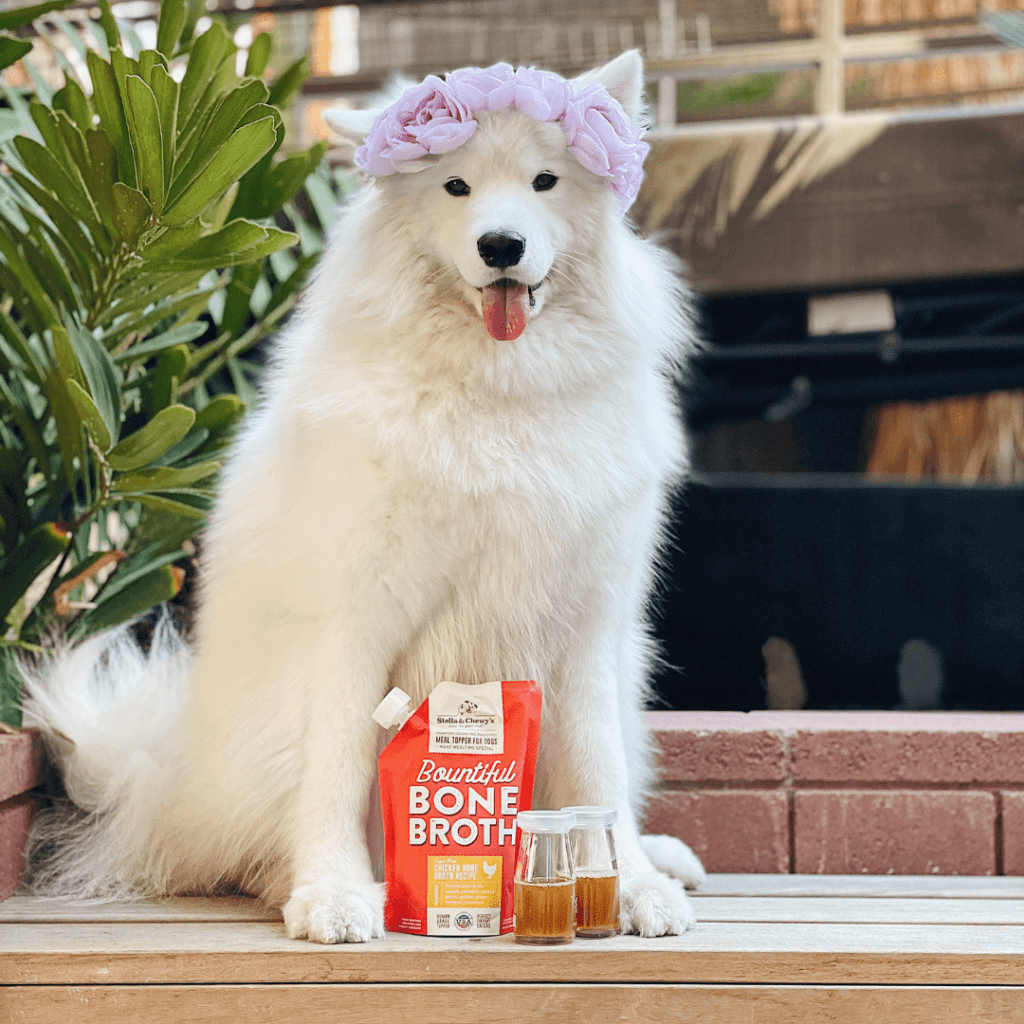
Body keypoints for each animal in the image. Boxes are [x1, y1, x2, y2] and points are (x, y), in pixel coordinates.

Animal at [22, 51, 704, 937]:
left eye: (545, 180)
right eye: (455, 186)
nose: (502, 245)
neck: (497, 392)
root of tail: (170, 783)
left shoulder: (587, 626)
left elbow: (598, 773)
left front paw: (627, 887)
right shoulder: (357, 621)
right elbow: (337, 771)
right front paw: (333, 893)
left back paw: (666, 857)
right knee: (245, 845)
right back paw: (288, 880)